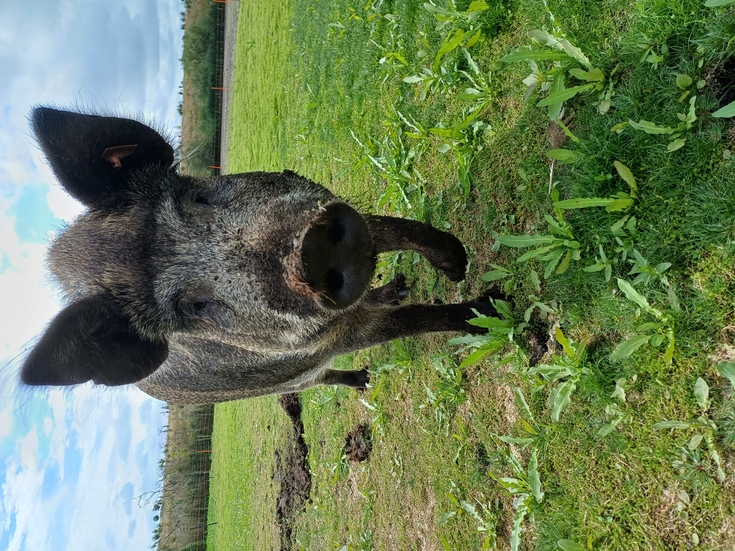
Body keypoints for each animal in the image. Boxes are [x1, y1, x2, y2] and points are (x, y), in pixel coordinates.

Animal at [20, 107, 497, 404]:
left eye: (197, 197)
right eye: (196, 307)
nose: (311, 248)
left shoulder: (334, 204)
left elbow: (399, 229)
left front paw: (457, 264)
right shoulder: (336, 337)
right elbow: (416, 322)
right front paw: (491, 307)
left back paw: (395, 292)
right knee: (316, 382)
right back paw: (363, 380)